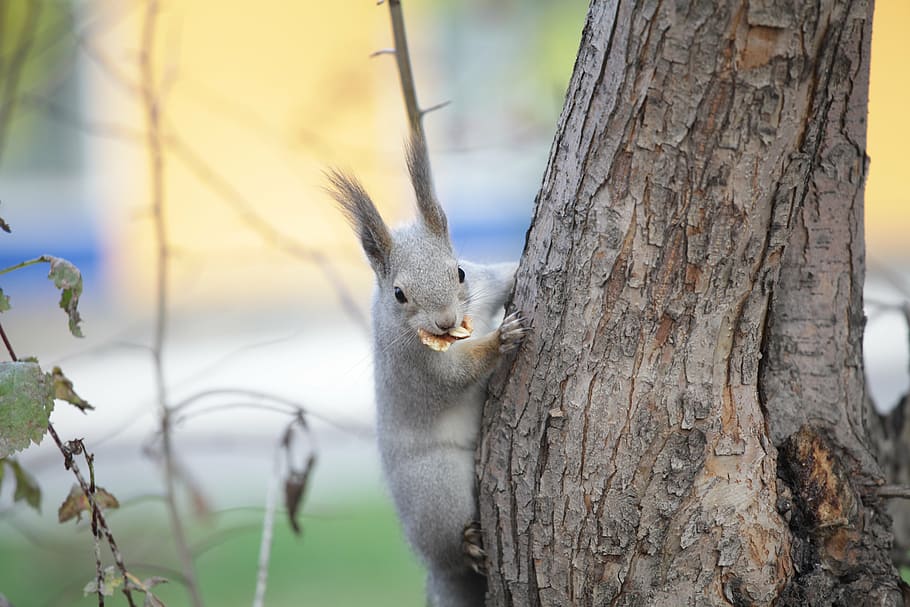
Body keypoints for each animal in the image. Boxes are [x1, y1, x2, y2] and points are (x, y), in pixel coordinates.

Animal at [328, 136, 526, 607]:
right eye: (400, 294)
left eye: (460, 270)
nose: (444, 321)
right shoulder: (414, 364)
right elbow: (455, 376)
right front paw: (500, 339)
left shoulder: (484, 284)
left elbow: (501, 280)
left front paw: (515, 271)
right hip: (437, 487)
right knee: (449, 546)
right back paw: (467, 545)